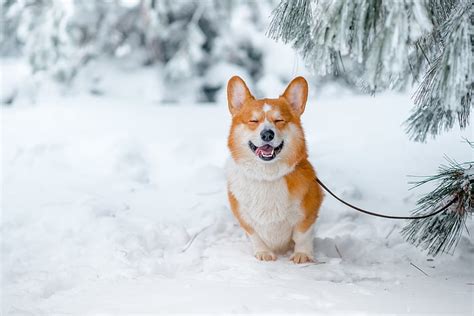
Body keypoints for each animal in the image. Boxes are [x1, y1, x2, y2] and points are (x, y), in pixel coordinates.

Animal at [225, 75, 322, 262]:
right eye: (253, 121)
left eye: (279, 120)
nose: (267, 134)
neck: (267, 175)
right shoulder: (244, 217)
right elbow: (255, 235)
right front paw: (263, 253)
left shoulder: (308, 211)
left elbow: (302, 235)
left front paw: (302, 255)